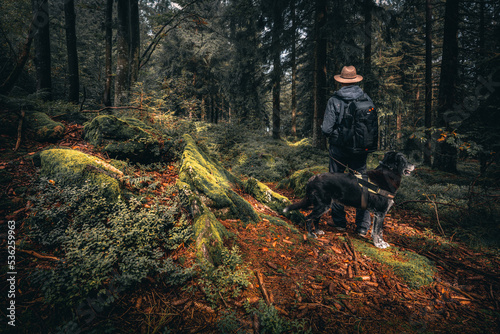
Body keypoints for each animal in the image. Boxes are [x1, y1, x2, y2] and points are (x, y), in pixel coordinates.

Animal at [284, 151, 416, 248]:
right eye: (404, 159)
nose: (414, 165)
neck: (387, 173)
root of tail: (311, 179)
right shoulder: (380, 213)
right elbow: (378, 231)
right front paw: (379, 244)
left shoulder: (379, 214)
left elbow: (378, 231)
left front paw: (380, 242)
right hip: (323, 205)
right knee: (308, 217)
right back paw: (311, 234)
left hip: (324, 205)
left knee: (315, 218)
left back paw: (317, 231)